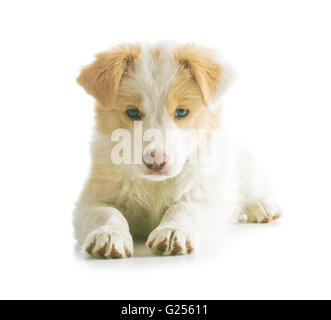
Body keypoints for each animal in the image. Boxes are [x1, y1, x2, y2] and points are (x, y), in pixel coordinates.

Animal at [74, 42, 282, 258]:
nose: (155, 162)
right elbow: (108, 213)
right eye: (132, 112)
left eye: (181, 112)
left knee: (256, 185)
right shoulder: (92, 199)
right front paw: (108, 234)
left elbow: (184, 207)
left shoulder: (205, 193)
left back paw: (263, 206)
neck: (155, 185)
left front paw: (172, 230)